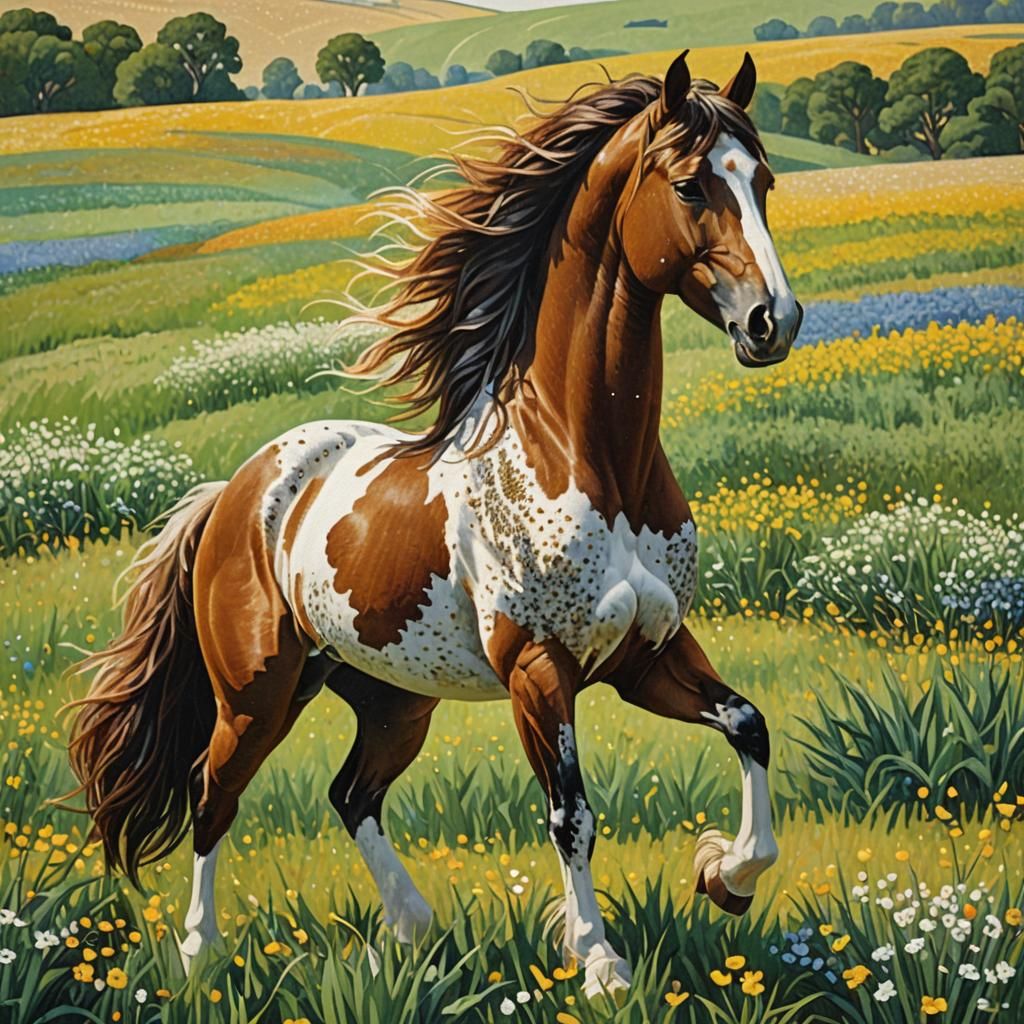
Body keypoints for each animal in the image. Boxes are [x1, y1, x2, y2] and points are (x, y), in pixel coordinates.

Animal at [68, 49, 802, 1001]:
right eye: (688, 185)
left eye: (765, 181)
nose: (772, 322)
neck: (588, 460)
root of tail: (236, 491)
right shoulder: (539, 670)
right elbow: (571, 813)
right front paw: (600, 961)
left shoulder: (648, 656)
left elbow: (749, 724)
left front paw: (726, 877)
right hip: (257, 694)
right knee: (212, 792)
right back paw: (201, 956)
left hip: (390, 697)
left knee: (351, 794)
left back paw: (410, 930)